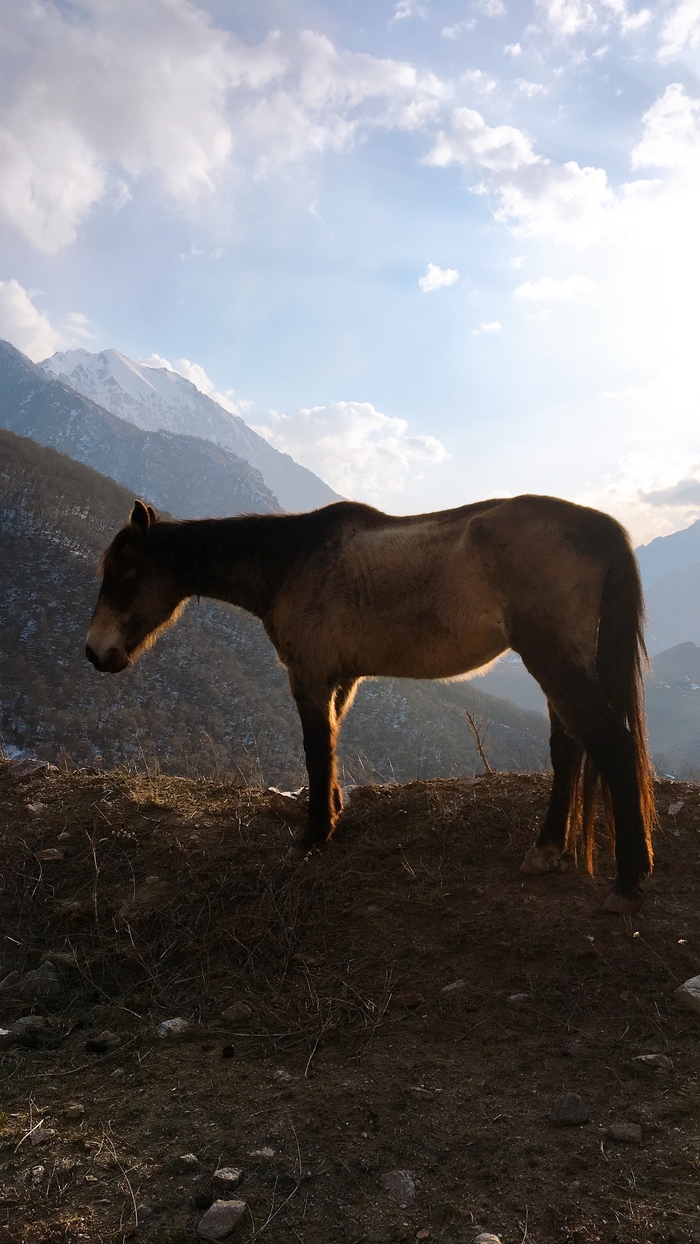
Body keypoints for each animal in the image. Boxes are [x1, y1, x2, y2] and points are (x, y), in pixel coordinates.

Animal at [86, 495, 656, 915]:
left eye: (123, 572)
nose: (94, 652)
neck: (291, 561)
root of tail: (597, 524)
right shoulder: (342, 679)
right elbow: (332, 744)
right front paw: (334, 813)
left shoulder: (310, 676)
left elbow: (317, 751)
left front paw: (313, 835)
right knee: (570, 750)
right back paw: (547, 850)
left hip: (554, 661)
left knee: (612, 746)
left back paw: (630, 882)